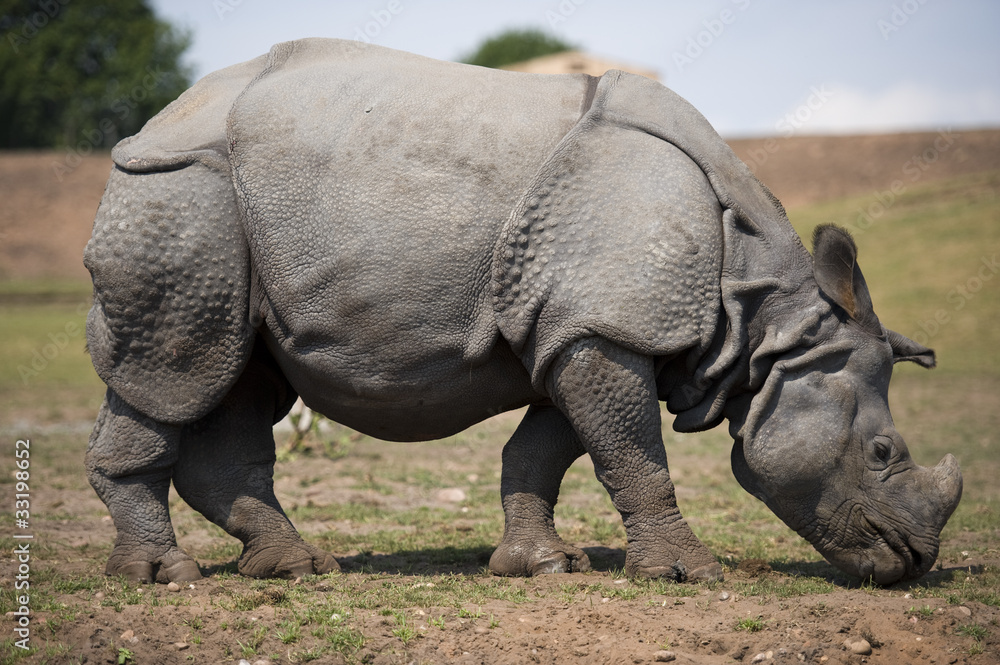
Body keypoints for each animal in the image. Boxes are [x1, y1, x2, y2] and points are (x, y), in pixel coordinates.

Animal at [84, 38, 961, 586]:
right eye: (882, 451)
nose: (916, 560)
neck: (765, 320)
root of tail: (157, 119)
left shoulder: (576, 327)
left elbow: (548, 448)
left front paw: (538, 566)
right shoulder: (606, 325)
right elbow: (633, 452)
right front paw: (688, 572)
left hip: (217, 210)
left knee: (239, 378)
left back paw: (293, 568)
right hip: (180, 196)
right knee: (175, 370)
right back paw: (165, 579)